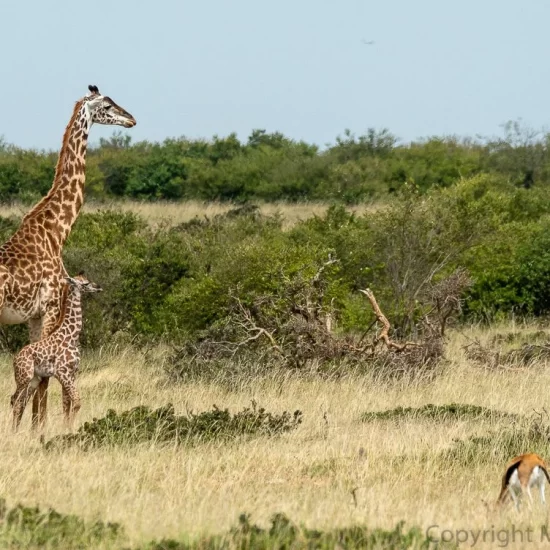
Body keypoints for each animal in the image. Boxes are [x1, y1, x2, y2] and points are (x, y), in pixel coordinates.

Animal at [10, 274, 102, 434]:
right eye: (86, 283)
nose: (98, 287)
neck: (71, 336)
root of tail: (15, 359)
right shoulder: (62, 372)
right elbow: (76, 402)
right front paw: (69, 429)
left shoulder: (72, 373)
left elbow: (67, 404)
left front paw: (66, 429)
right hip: (23, 377)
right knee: (15, 400)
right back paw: (12, 432)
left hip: (34, 379)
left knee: (20, 402)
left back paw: (15, 431)